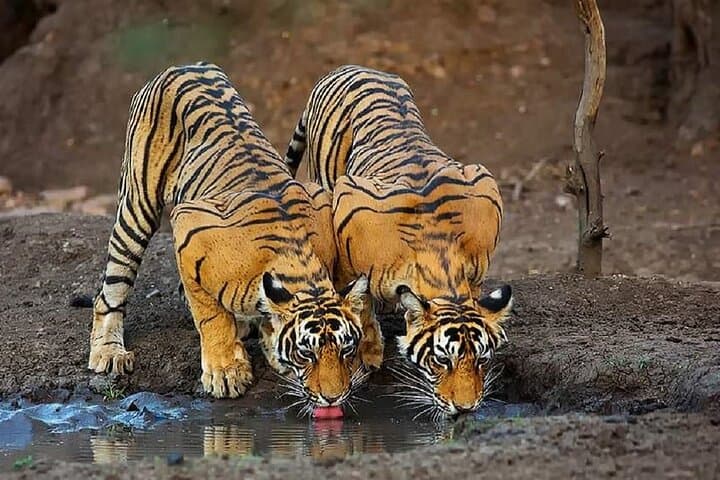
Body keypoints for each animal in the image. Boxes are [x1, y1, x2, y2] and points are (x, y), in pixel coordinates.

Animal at [76, 62, 384, 408]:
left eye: (346, 349)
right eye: (306, 354)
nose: (334, 398)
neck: (298, 264)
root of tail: (187, 66)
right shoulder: (188, 229)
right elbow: (211, 316)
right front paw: (226, 372)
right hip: (136, 205)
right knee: (112, 289)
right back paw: (109, 351)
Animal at [284, 65, 513, 418]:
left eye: (481, 360)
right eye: (441, 360)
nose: (465, 408)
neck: (441, 256)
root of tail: (349, 67)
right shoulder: (348, 216)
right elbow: (358, 302)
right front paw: (368, 354)